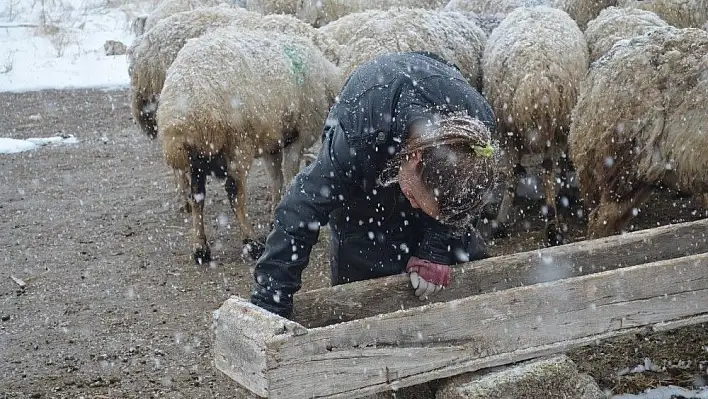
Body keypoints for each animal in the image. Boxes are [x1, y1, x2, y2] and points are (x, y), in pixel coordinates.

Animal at [156, 26, 342, 264]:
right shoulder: (296, 138)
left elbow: (276, 180)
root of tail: (185, 112)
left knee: (197, 196)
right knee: (234, 191)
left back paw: (201, 249)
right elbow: (290, 177)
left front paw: (274, 218)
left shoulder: (273, 143)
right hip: (237, 142)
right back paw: (251, 242)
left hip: (196, 156)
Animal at [482, 4, 592, 245]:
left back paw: (502, 222)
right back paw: (552, 225)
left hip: (511, 127)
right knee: (546, 170)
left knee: (514, 171)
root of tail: (536, 82)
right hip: (549, 125)